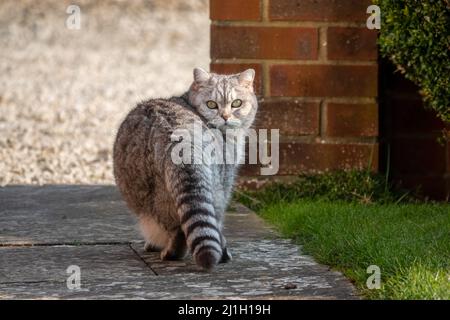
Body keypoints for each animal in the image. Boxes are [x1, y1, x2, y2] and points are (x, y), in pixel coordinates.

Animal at [112, 68, 256, 270]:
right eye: (211, 105)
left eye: (237, 103)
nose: (225, 117)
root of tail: (179, 135)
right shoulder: (225, 181)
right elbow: (217, 225)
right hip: (211, 189)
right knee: (183, 228)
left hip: (152, 192)